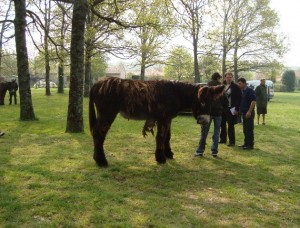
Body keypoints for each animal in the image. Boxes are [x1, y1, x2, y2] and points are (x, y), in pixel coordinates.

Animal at [90, 76, 224, 166]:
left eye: (212, 102)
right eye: (202, 102)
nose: (205, 121)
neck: (175, 92)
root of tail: (97, 83)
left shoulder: (168, 119)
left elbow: (167, 137)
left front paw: (168, 154)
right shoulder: (163, 118)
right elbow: (160, 137)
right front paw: (160, 158)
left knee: (96, 133)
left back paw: (97, 159)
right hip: (108, 113)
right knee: (99, 133)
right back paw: (101, 161)